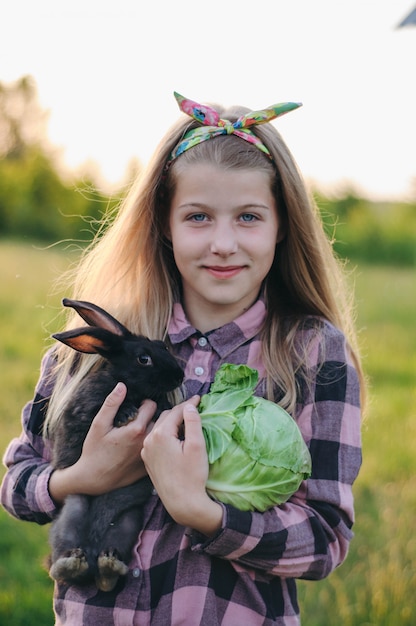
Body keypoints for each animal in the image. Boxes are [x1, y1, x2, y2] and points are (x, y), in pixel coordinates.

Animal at [47, 298, 184, 588]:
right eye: (143, 359)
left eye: (163, 345)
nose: (179, 376)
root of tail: (91, 551)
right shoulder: (85, 411)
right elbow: (96, 412)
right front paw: (126, 414)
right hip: (72, 510)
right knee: (60, 565)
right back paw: (72, 563)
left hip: (128, 521)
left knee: (106, 566)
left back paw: (108, 565)